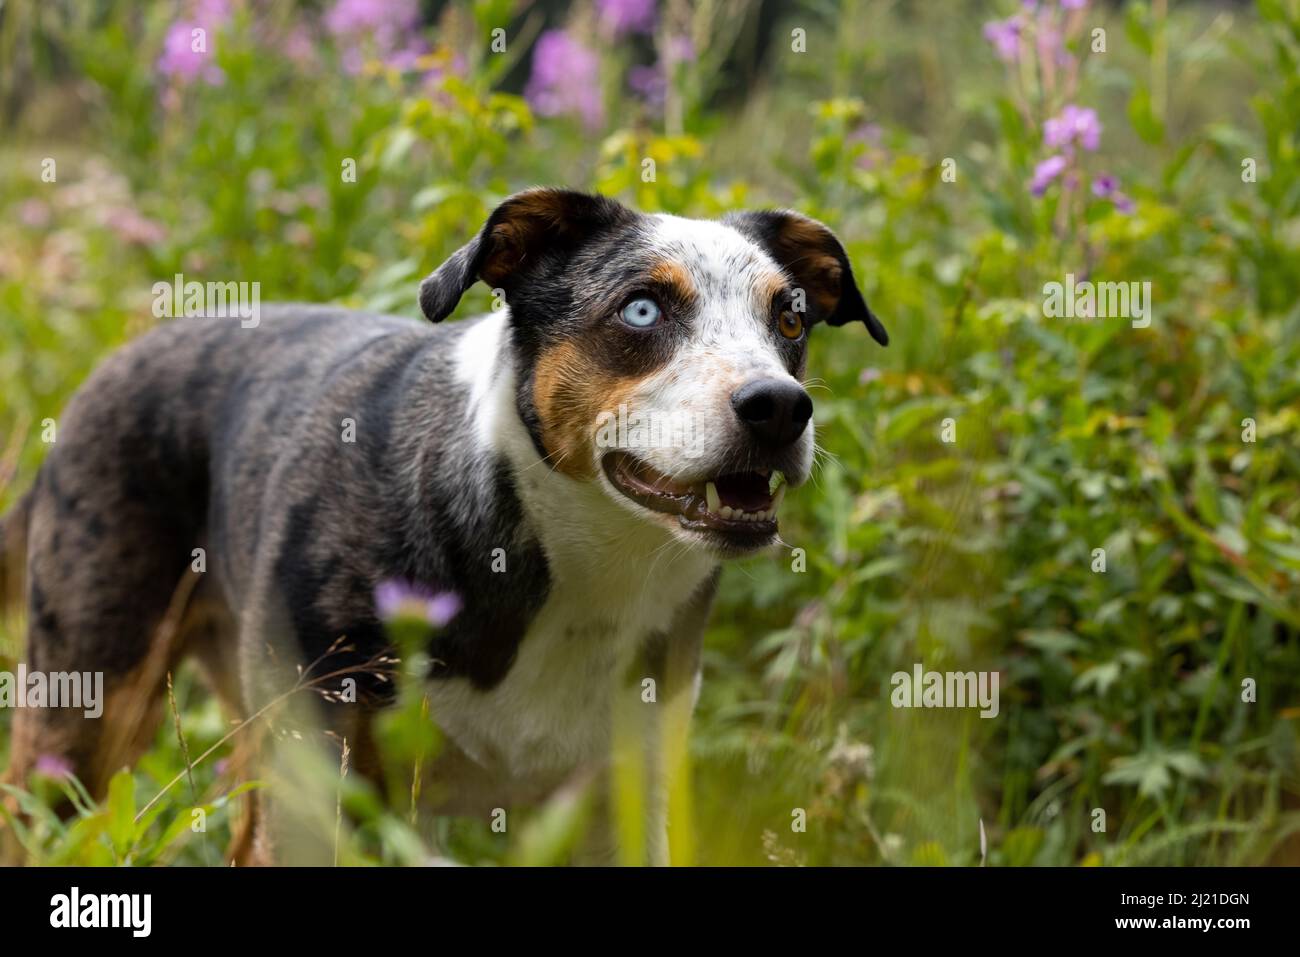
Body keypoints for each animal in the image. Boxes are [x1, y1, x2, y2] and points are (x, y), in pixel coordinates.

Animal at [0, 188, 883, 868]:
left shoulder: (624, 798)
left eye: (790, 320)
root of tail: (112, 365)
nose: (780, 406)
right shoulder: (322, 779)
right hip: (84, 711)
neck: (569, 558)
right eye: (641, 309)